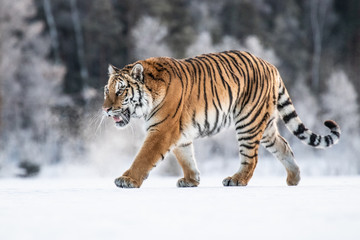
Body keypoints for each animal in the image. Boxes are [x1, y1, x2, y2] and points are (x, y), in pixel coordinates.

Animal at [102, 50, 342, 188]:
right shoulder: (179, 132)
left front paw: (127, 180)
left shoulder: (162, 130)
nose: (105, 109)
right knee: (283, 146)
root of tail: (270, 65)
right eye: (107, 90)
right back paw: (294, 179)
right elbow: (186, 157)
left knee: (251, 158)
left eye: (121, 91)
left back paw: (237, 180)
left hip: (248, 122)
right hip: (265, 125)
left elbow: (144, 157)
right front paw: (191, 180)